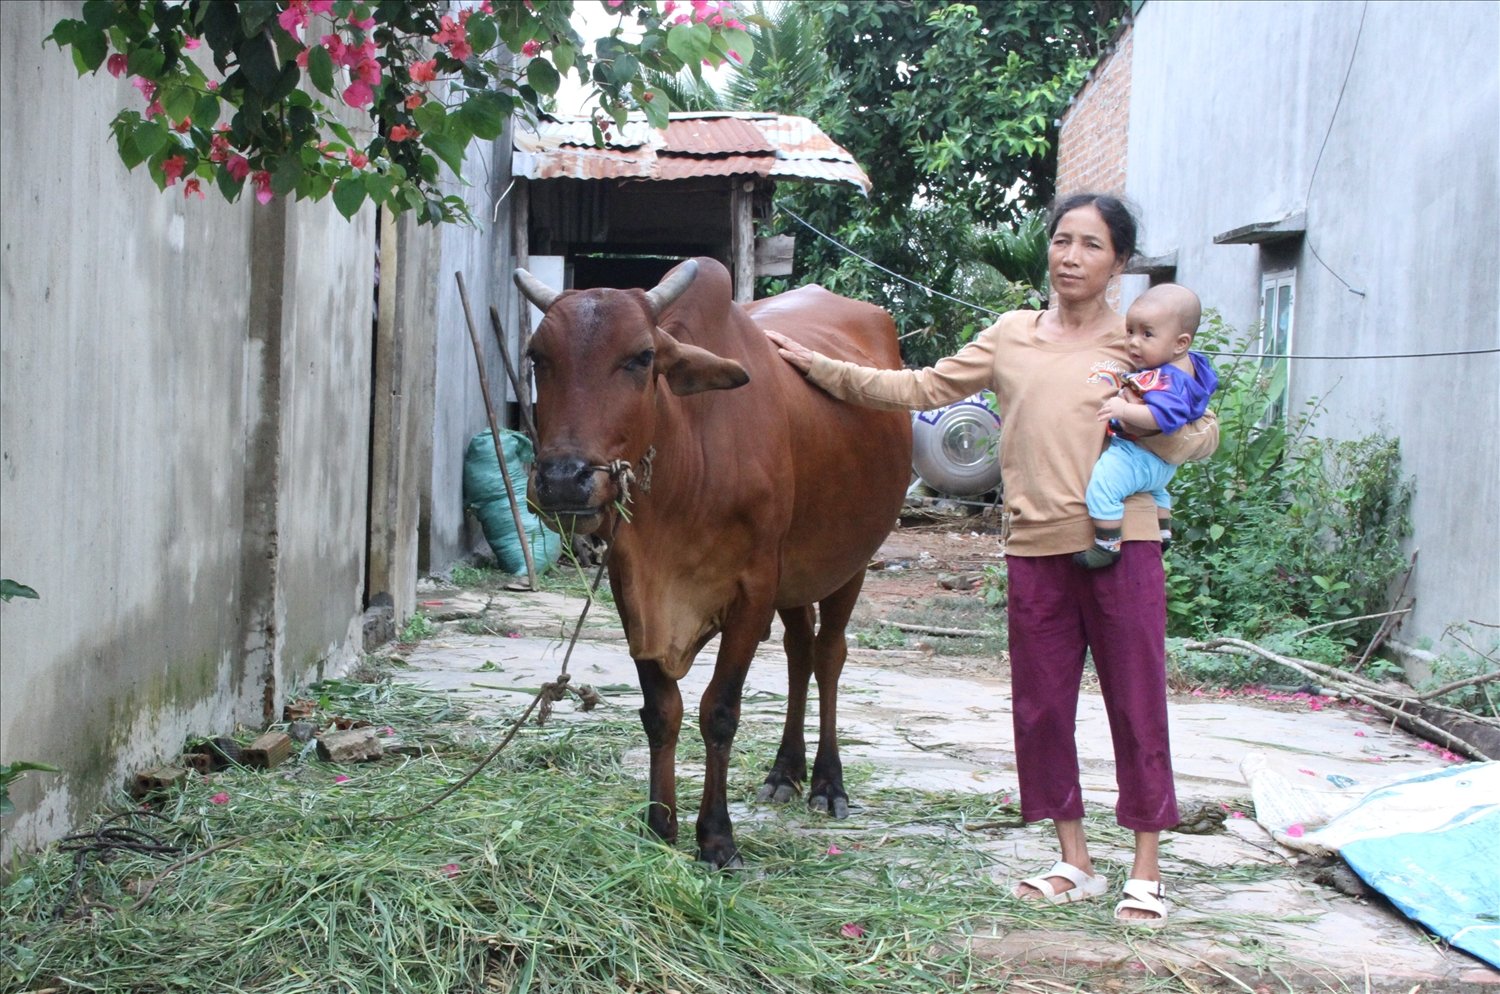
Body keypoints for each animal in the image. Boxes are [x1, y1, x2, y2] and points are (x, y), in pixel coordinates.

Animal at [513, 256, 912, 869]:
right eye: (538, 356)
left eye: (642, 357)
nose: (562, 479)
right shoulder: (635, 593)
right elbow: (662, 711)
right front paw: (658, 826)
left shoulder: (752, 592)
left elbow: (718, 712)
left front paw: (717, 838)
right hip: (794, 576)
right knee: (799, 651)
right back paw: (784, 772)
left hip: (850, 562)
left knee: (828, 656)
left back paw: (826, 782)